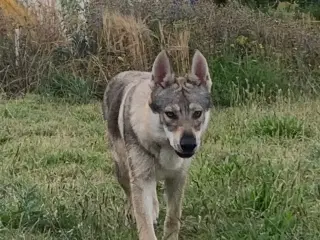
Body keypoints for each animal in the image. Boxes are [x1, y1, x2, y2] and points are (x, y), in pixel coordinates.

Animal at [102, 49, 212, 240]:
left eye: (197, 113)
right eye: (170, 114)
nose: (188, 144)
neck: (164, 148)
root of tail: (121, 73)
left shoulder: (178, 178)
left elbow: (173, 218)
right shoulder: (140, 179)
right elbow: (144, 225)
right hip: (123, 171)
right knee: (131, 196)